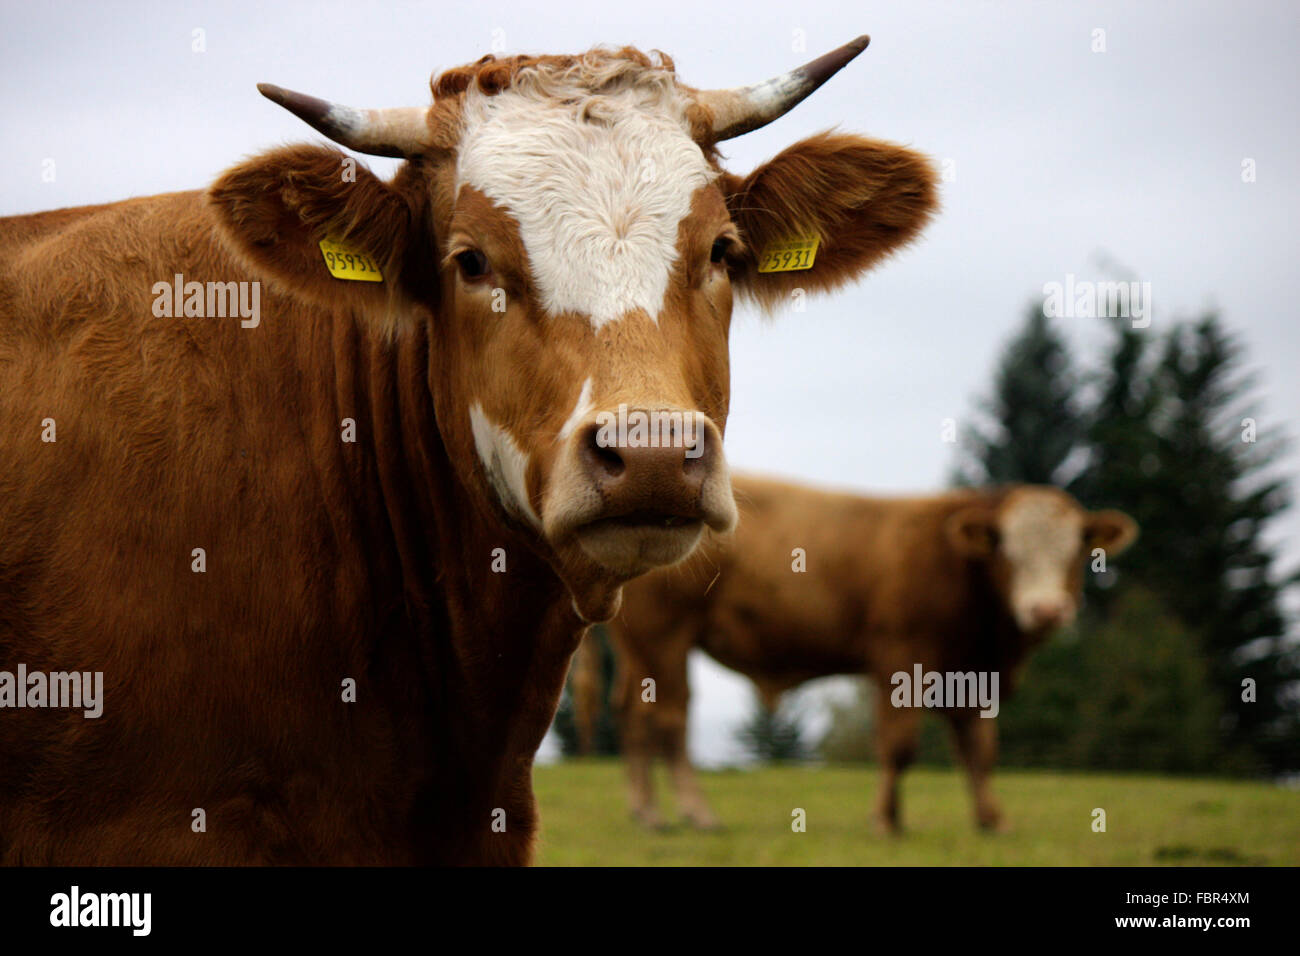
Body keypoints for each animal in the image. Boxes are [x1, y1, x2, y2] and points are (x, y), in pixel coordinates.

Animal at [584, 475, 1136, 833]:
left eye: (1075, 551)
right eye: (1008, 550)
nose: (1046, 609)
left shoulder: (973, 675)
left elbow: (979, 750)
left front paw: (990, 819)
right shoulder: (901, 658)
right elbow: (899, 745)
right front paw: (886, 820)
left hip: (639, 650)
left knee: (632, 715)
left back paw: (645, 810)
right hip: (665, 638)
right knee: (669, 719)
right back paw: (694, 813)